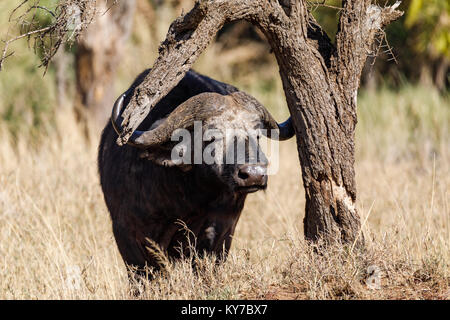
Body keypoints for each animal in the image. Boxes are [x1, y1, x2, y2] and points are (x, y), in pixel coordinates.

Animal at [98, 70, 294, 278]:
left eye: (257, 134)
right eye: (211, 136)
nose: (254, 174)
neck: (184, 196)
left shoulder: (221, 229)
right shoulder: (127, 232)